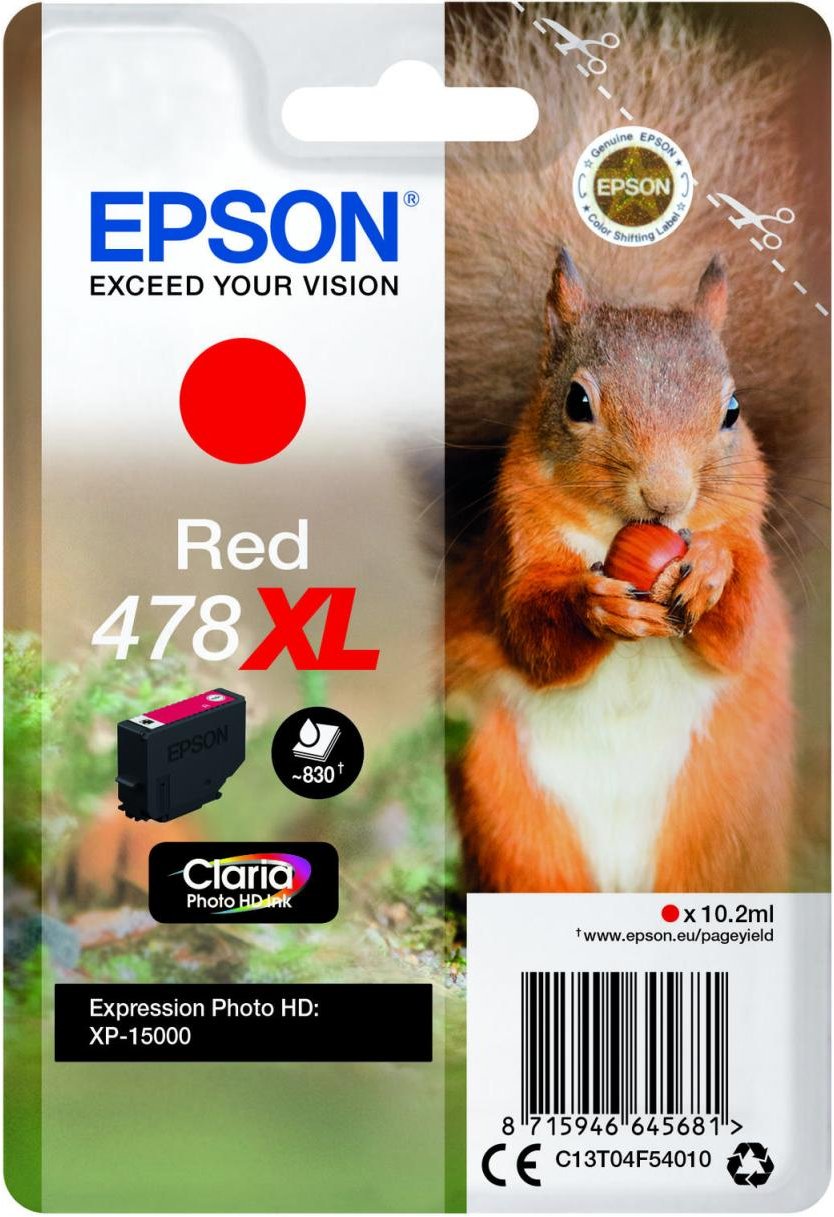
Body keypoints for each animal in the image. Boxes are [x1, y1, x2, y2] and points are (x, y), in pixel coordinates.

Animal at [443, 4, 828, 893]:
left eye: (732, 410)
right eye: (577, 402)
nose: (667, 498)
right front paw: (597, 605)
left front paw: (711, 571)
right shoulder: (514, 544)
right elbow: (530, 630)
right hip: (511, 813)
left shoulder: (749, 534)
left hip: (724, 818)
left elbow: (741, 625)